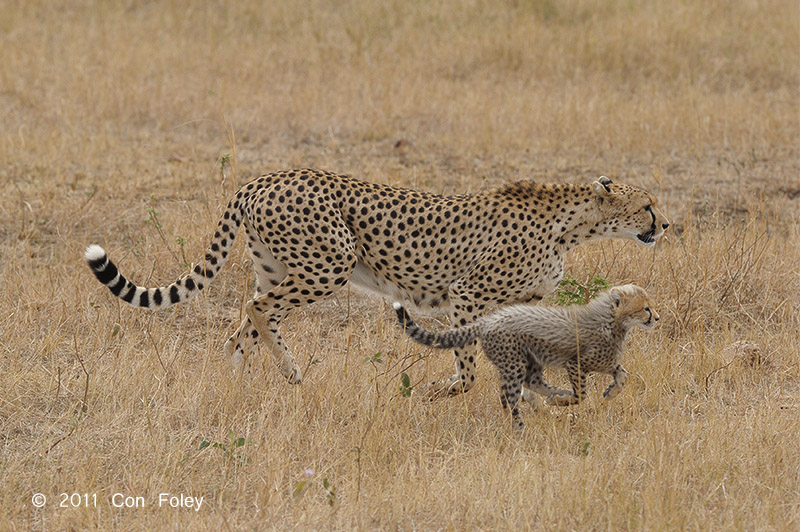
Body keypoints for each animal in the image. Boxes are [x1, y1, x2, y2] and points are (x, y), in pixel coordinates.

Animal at [84, 168, 668, 396]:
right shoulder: (467, 294)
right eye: (646, 205)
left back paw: (237, 383)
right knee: (258, 311)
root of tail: (262, 178)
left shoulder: (517, 302)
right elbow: (465, 359)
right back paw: (291, 372)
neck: (572, 223)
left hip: (278, 266)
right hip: (331, 261)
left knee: (243, 320)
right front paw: (449, 389)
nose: (664, 225)